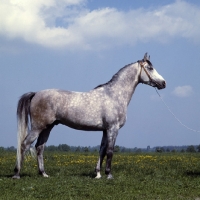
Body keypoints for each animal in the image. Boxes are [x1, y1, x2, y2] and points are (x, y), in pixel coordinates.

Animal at [12, 52, 166, 179]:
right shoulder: (113, 128)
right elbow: (110, 151)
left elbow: (102, 150)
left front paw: (98, 174)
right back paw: (17, 174)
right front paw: (109, 174)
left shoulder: (105, 130)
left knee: (39, 147)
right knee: (24, 144)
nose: (163, 83)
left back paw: (43, 173)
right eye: (150, 68)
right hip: (38, 127)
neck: (114, 95)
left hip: (47, 127)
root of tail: (36, 93)